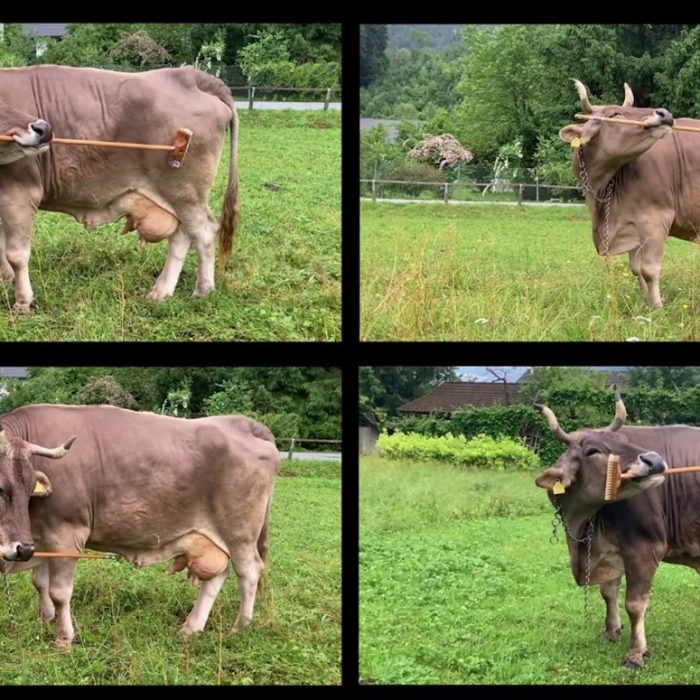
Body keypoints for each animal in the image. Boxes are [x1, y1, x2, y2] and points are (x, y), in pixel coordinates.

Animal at [0, 65, 239, 313]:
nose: (43, 128)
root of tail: (193, 75)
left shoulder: (19, 191)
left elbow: (16, 254)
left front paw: (23, 302)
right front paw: (6, 282)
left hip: (186, 193)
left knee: (204, 232)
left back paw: (203, 291)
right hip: (178, 198)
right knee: (181, 236)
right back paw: (161, 292)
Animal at [0, 403, 279, 649]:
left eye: (29, 487)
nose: (21, 550)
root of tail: (243, 423)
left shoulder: (66, 534)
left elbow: (59, 592)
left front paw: (64, 638)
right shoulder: (41, 536)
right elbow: (40, 583)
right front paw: (46, 620)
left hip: (240, 533)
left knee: (249, 572)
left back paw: (240, 627)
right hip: (213, 538)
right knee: (216, 576)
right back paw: (191, 627)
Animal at [534, 390, 700, 668]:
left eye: (623, 439)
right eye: (592, 450)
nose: (655, 461)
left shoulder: (644, 547)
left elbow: (634, 603)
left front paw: (636, 653)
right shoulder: (610, 550)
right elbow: (608, 592)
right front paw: (611, 630)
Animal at [559, 80, 687, 308]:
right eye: (615, 114)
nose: (664, 113)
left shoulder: (656, 219)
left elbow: (649, 270)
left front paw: (657, 309)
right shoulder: (632, 223)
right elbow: (636, 269)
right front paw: (646, 304)